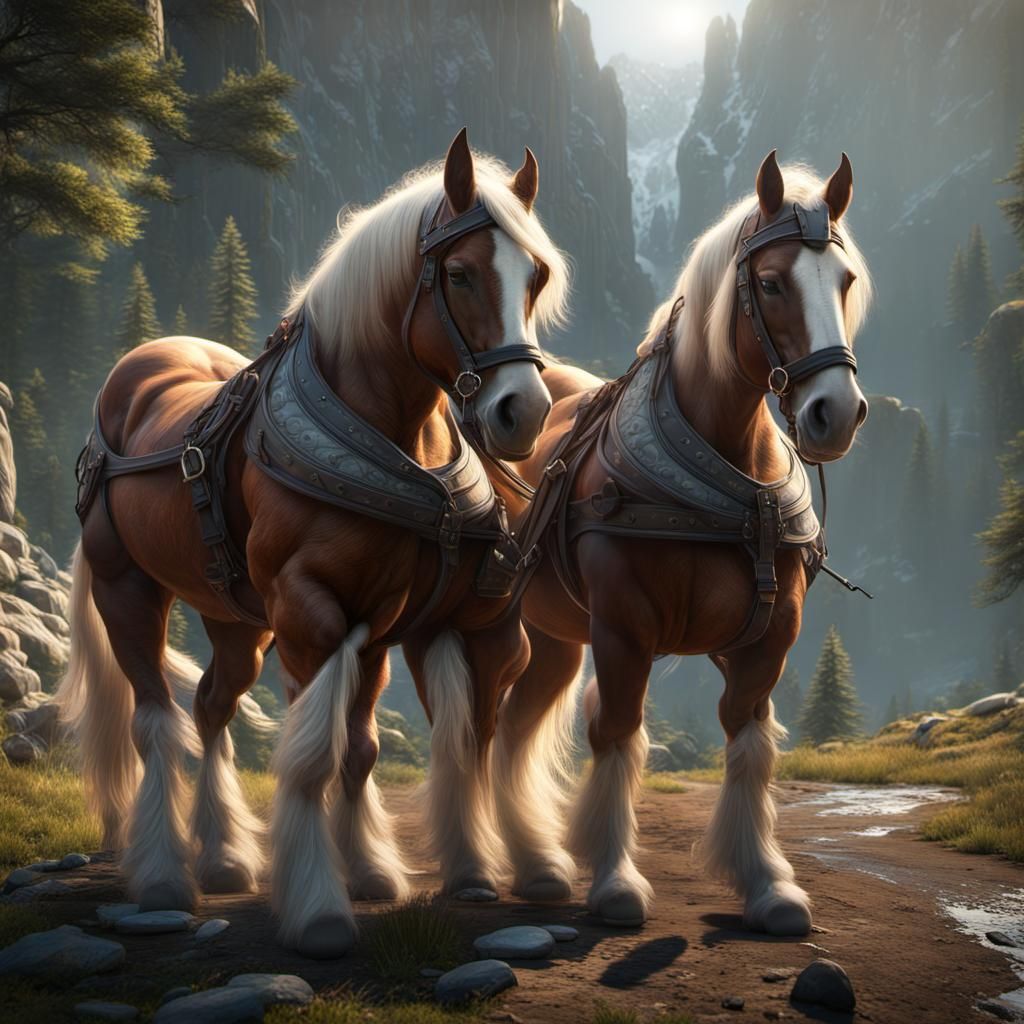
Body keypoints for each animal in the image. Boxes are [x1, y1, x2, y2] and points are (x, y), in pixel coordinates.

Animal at [57, 129, 570, 958]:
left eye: (537, 278)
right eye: (459, 274)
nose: (521, 413)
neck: (391, 440)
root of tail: (132, 375)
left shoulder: (375, 626)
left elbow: (358, 751)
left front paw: (369, 873)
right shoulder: (310, 616)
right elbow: (310, 755)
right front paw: (319, 907)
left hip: (236, 621)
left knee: (211, 707)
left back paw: (224, 858)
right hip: (128, 590)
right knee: (157, 720)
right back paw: (165, 874)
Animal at [491, 152, 873, 934]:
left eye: (845, 281)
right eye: (770, 283)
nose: (836, 413)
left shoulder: (769, 640)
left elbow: (749, 743)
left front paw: (767, 884)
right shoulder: (624, 632)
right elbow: (617, 732)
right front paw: (614, 883)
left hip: (554, 638)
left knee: (516, 727)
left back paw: (536, 864)